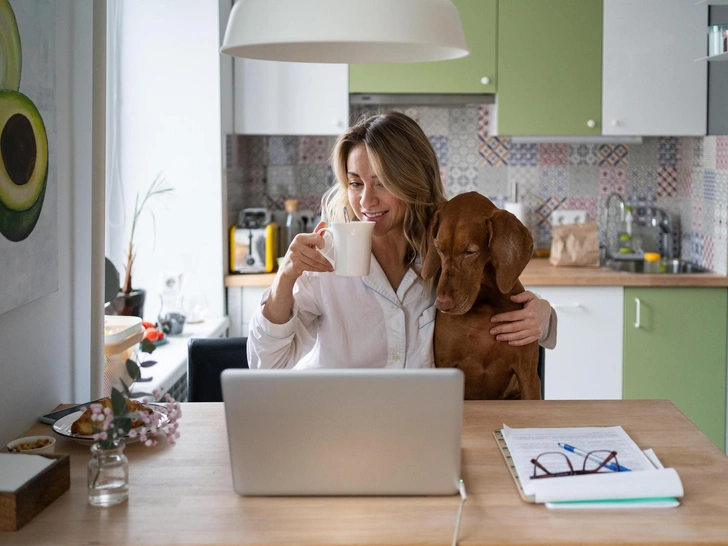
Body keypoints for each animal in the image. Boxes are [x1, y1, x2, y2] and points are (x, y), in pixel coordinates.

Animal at [420, 191, 540, 400]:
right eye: (439, 249)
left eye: (470, 252)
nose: (442, 304)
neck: (484, 303)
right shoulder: (445, 365)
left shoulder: (528, 376)